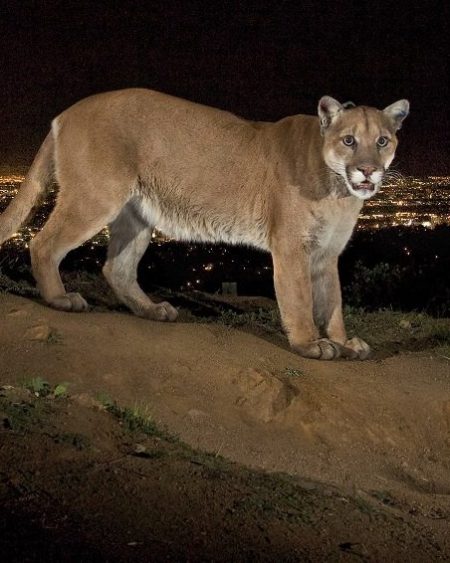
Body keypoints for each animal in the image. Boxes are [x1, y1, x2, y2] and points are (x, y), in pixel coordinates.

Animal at [0, 89, 409, 359]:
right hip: (95, 197)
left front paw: (342, 341)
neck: (339, 191)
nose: (368, 170)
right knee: (43, 243)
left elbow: (333, 301)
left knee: (117, 268)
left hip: (138, 214)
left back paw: (152, 310)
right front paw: (311, 343)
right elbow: (301, 299)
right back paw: (60, 299)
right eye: (349, 140)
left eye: (382, 141)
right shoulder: (293, 246)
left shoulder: (326, 253)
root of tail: (66, 112)